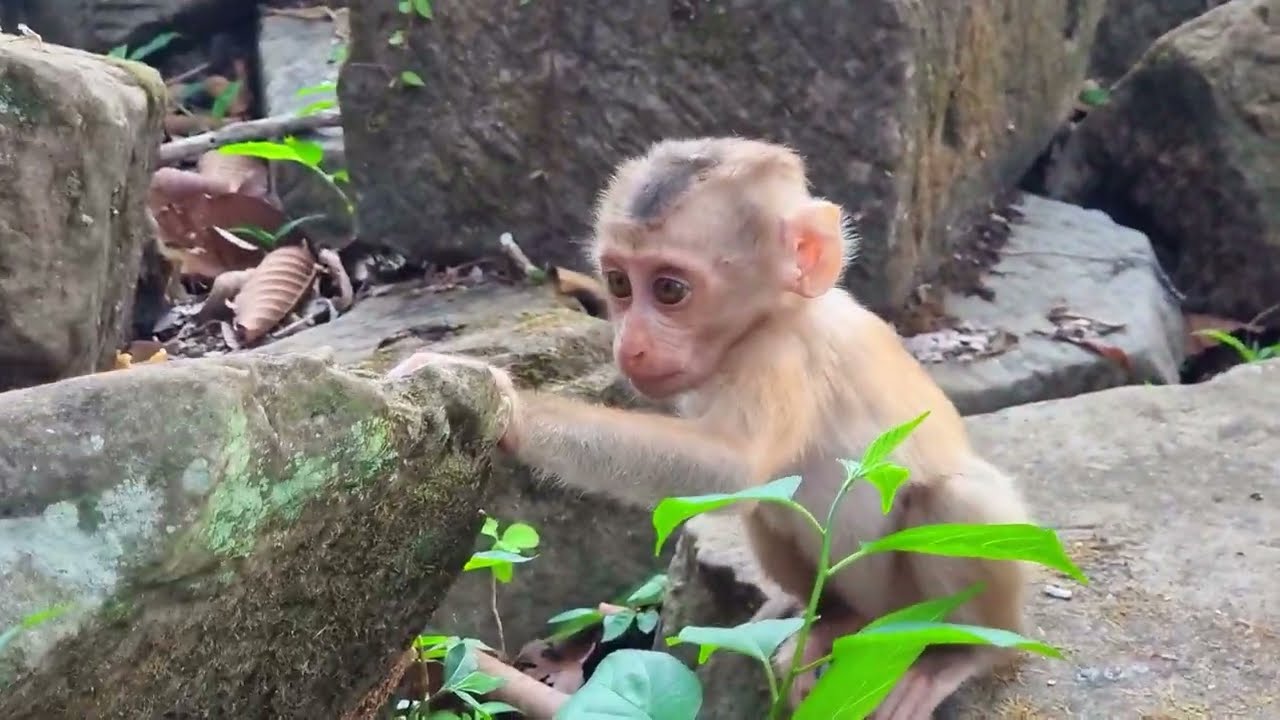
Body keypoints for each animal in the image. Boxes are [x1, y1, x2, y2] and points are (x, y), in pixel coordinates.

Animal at [389, 137, 1033, 719]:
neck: (772, 316)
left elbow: (730, 466)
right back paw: (832, 620)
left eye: (670, 290)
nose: (631, 343)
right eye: (619, 283)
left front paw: (504, 403)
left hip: (925, 603)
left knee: (954, 503)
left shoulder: (778, 355)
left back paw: (956, 657)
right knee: (774, 508)